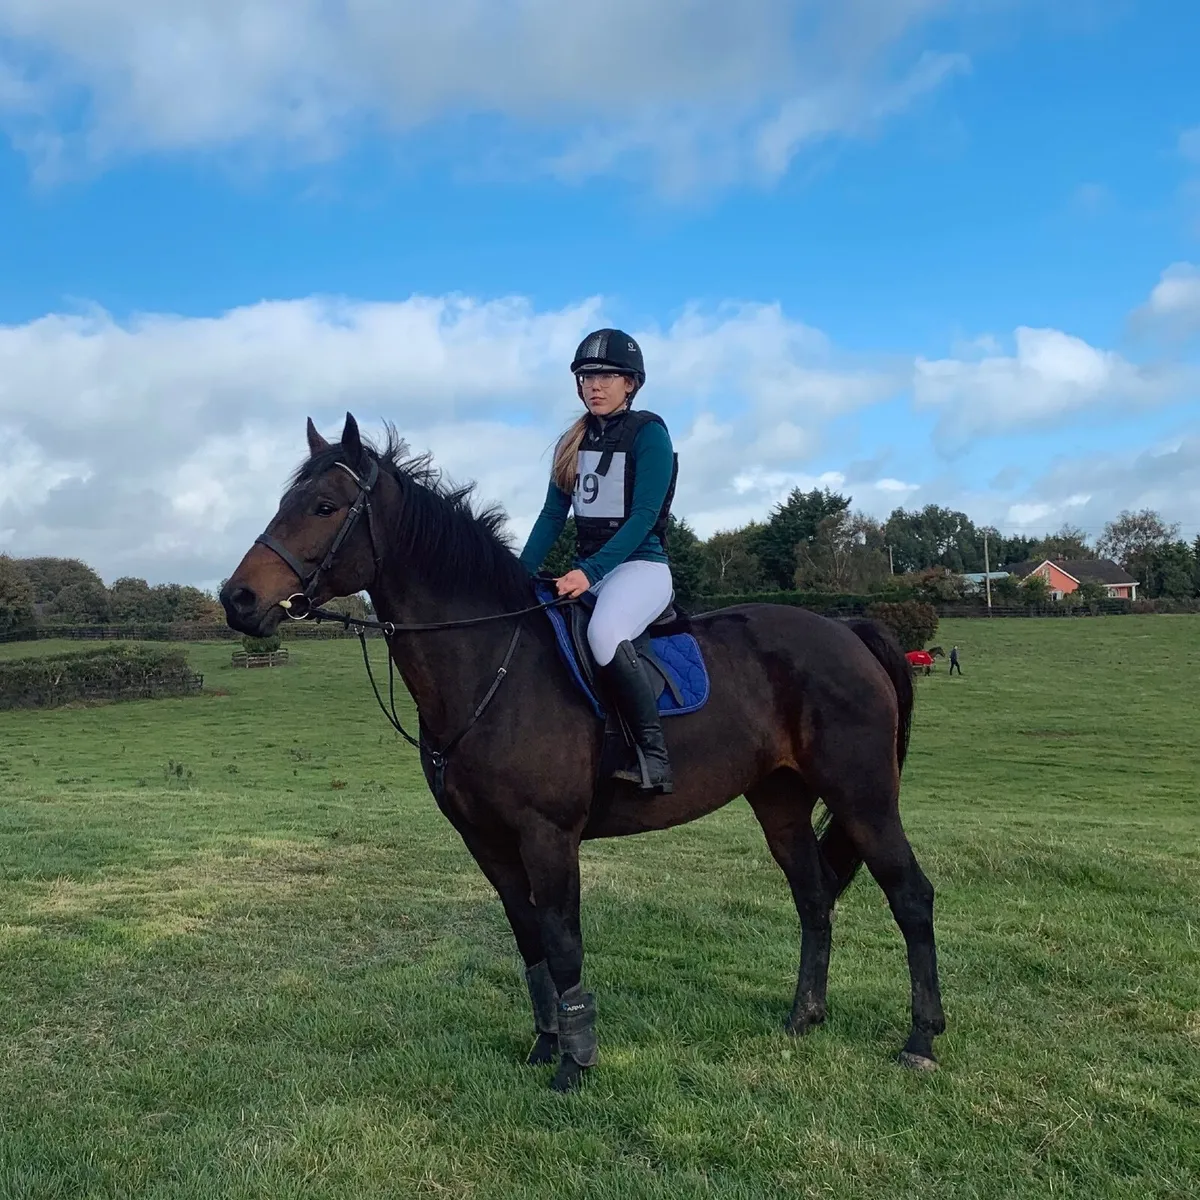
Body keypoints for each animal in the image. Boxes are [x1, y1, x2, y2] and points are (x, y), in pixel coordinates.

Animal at [219, 413, 945, 1092]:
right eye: (286, 501)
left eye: (324, 506)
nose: (238, 599)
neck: (492, 662)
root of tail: (845, 629)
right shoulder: (488, 841)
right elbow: (530, 940)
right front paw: (545, 1045)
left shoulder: (549, 836)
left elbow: (564, 944)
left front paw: (575, 1066)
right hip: (782, 800)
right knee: (814, 897)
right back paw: (804, 1016)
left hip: (863, 797)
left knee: (911, 895)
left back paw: (921, 1040)